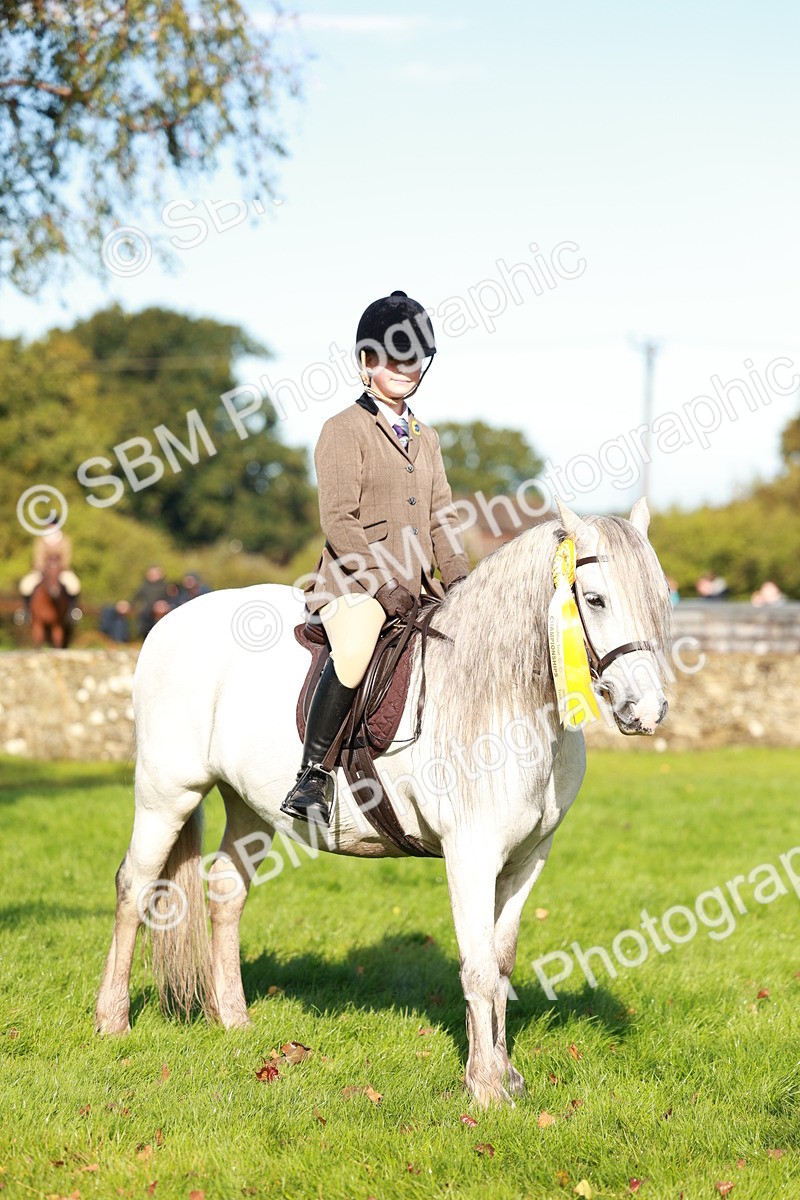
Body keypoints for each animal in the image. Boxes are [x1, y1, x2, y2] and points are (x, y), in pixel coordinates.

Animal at [95, 499, 672, 1107]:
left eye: (660, 596)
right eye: (595, 599)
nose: (647, 710)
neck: (505, 698)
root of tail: (169, 622)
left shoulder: (527, 859)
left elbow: (501, 962)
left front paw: (505, 1073)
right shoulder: (471, 854)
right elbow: (478, 967)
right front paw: (486, 1088)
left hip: (249, 807)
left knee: (226, 893)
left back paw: (234, 1019)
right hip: (166, 793)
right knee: (134, 886)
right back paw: (113, 1021)